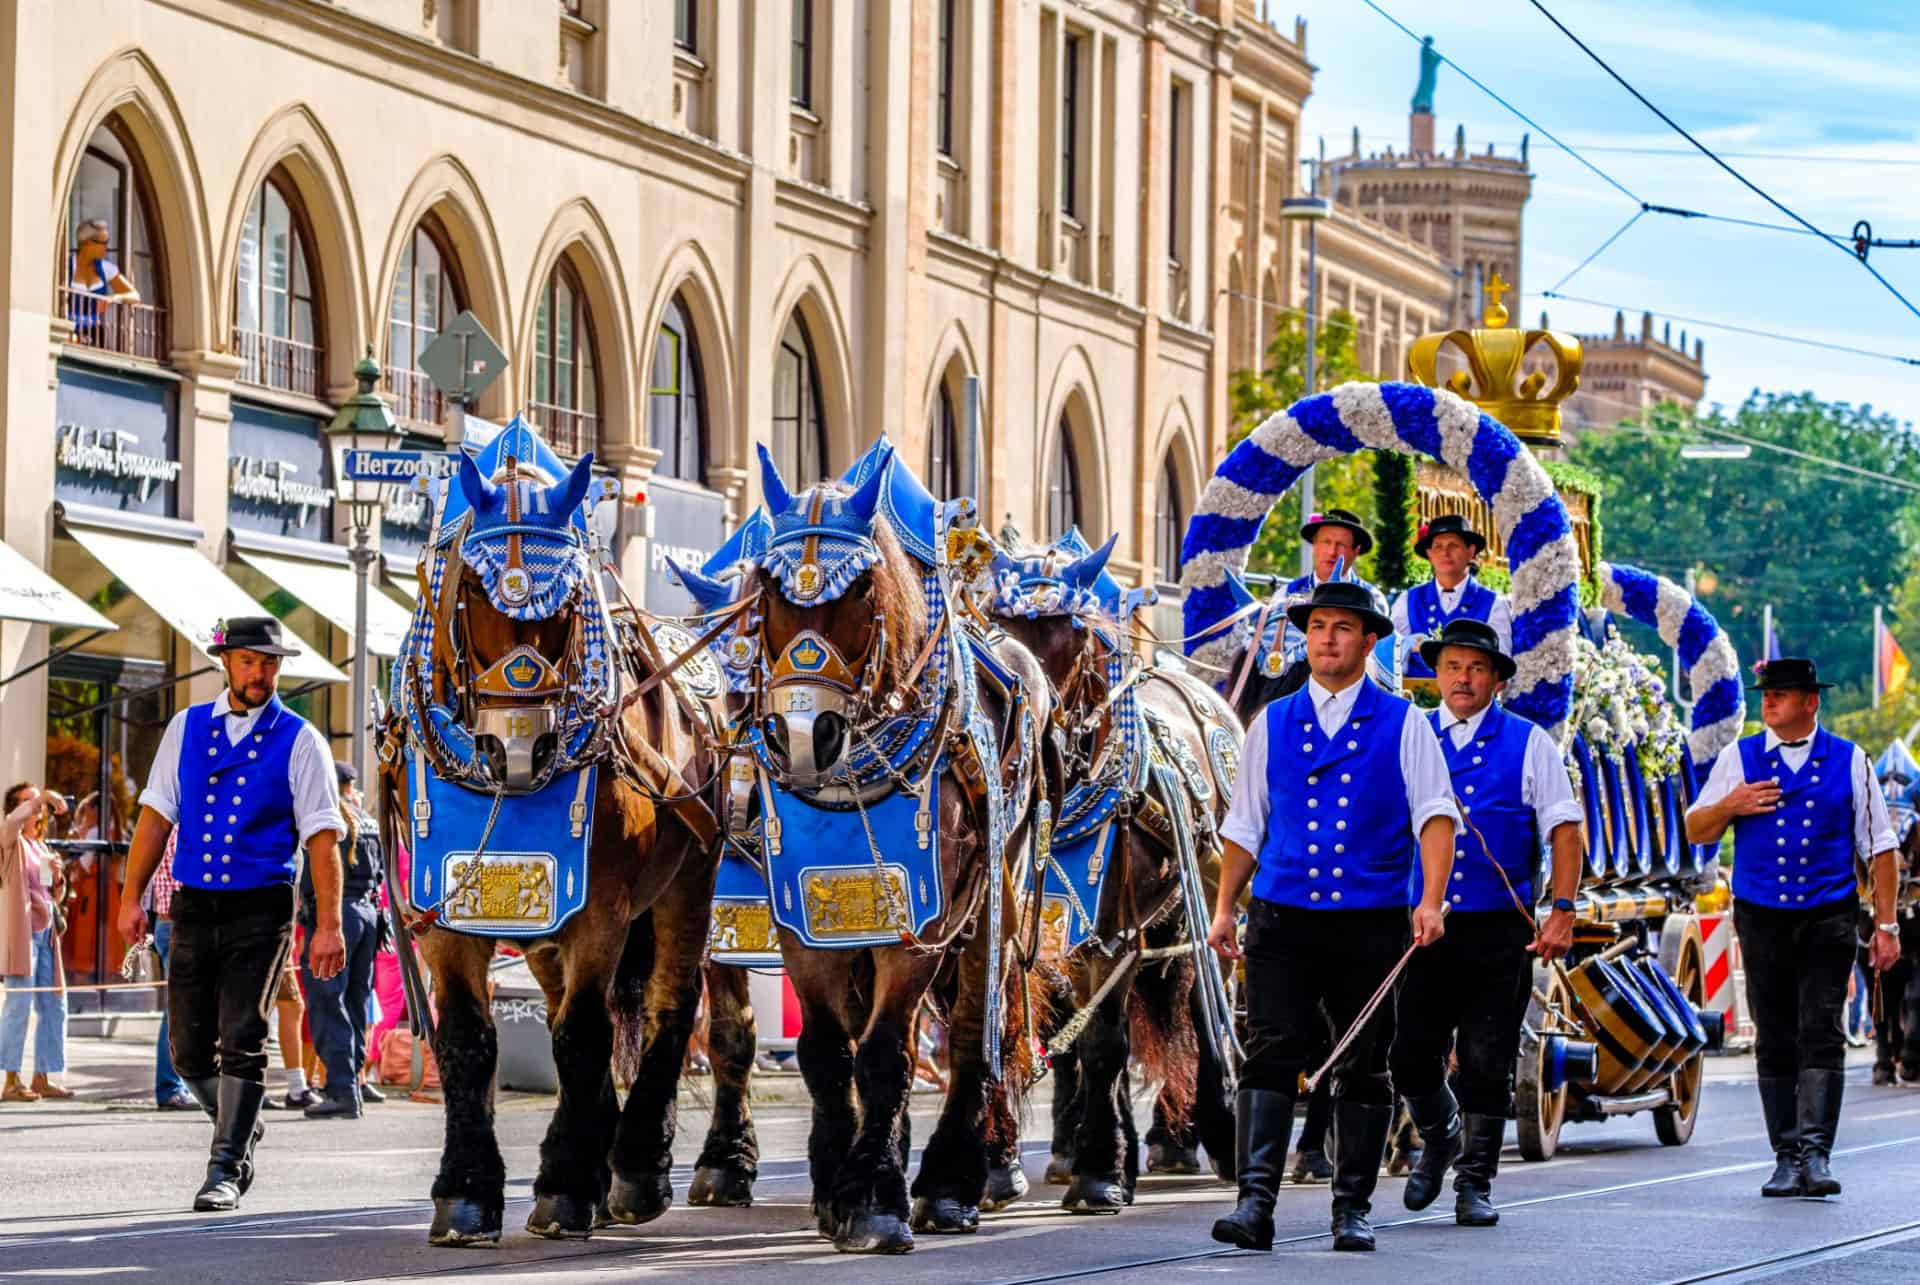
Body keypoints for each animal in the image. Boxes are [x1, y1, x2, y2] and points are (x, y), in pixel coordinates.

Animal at [378, 451, 721, 1244]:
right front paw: (467, 1190)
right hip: (541, 934)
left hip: (687, 880)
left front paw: (565, 1184)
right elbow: (469, 1037)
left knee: (669, 1006)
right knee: (570, 1006)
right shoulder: (447, 910)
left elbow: (581, 1037)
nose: (517, 748)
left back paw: (635, 1167)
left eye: (567, 602)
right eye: (473, 590)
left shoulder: (602, 911)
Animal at [748, 445, 1052, 1244]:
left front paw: (878, 1196)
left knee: (977, 1027)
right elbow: (827, 1054)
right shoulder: (807, 918)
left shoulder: (920, 919)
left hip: (988, 902)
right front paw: (839, 1186)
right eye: (768, 589)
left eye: (862, 590)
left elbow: (888, 1054)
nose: (802, 736)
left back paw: (955, 1178)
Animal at [990, 537, 1244, 1206]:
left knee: (1210, 1010)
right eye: (992, 624)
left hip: (1206, 913)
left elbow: (1104, 1044)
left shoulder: (1111, 933)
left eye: (1072, 637)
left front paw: (1099, 1173)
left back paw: (1220, 1130)